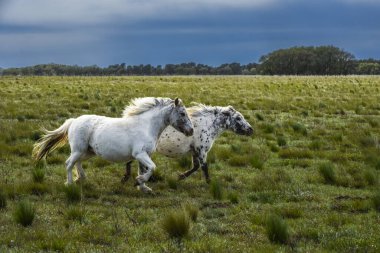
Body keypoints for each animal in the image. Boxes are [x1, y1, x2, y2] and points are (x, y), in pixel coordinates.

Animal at [32, 97, 193, 192]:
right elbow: (152, 167)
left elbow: (144, 170)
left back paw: (81, 179)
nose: (191, 131)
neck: (147, 126)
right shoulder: (140, 154)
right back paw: (70, 184)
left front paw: (143, 187)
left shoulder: (143, 155)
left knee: (77, 163)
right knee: (69, 163)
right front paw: (139, 182)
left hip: (87, 152)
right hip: (78, 150)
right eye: (183, 113)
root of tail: (73, 121)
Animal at [121, 103, 252, 184]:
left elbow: (196, 167)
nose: (251, 130)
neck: (208, 124)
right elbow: (204, 167)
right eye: (238, 118)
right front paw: (209, 183)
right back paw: (128, 178)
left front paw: (180, 176)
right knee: (131, 161)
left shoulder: (195, 151)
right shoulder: (201, 150)